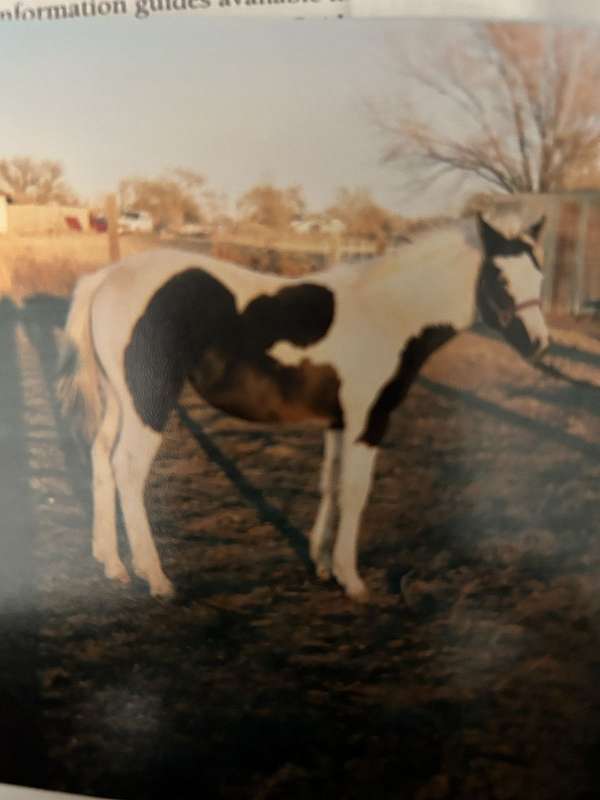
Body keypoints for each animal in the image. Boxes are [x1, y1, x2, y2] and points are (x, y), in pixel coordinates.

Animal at [59, 212, 548, 600]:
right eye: (501, 278)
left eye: (540, 276)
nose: (539, 344)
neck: (391, 313)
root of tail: (108, 277)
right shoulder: (368, 421)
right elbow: (355, 492)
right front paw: (352, 580)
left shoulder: (339, 422)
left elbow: (330, 485)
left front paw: (322, 565)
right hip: (149, 401)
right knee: (127, 468)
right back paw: (156, 578)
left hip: (121, 400)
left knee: (101, 457)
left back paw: (113, 564)